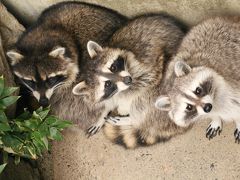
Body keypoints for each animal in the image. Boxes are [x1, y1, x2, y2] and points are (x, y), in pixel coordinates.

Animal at [73, 13, 188, 147]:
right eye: (108, 84)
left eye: (113, 67)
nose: (128, 80)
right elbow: (109, 101)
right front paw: (102, 115)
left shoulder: (145, 66)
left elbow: (145, 84)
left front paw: (125, 107)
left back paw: (132, 118)